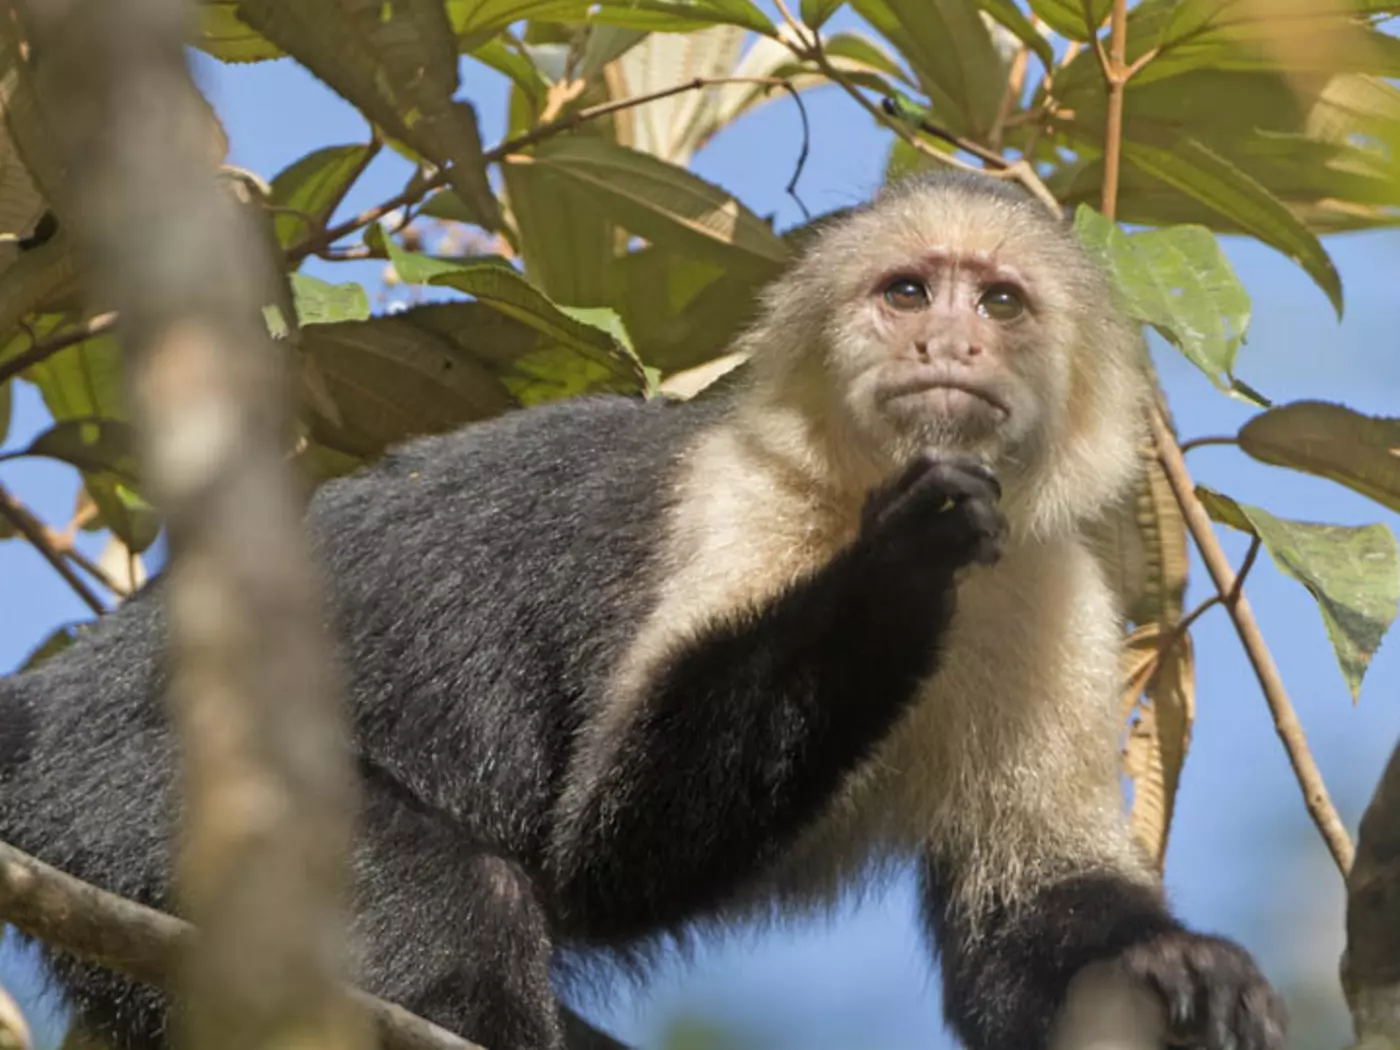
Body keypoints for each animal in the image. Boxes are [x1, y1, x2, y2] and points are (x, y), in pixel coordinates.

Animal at [0, 169, 1285, 1050]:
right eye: (908, 290)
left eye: (1002, 302)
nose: (949, 340)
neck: (839, 489)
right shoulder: (733, 510)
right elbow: (611, 847)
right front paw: (897, 567)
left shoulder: (1049, 587)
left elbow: (1021, 928)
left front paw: (1170, 961)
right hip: (121, 787)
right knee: (459, 904)